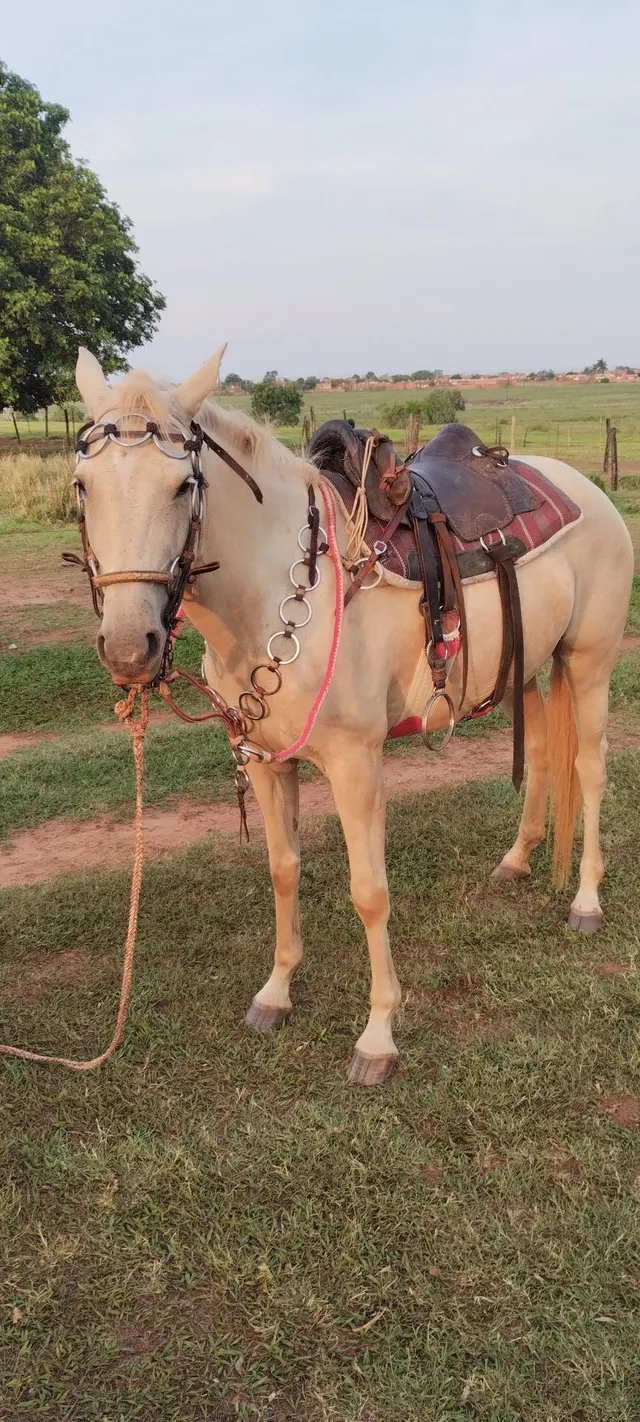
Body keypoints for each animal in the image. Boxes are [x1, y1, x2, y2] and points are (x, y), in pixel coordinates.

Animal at [72, 349, 631, 1080]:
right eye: (83, 486)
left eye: (182, 486)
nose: (128, 648)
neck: (277, 590)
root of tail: (586, 491)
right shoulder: (264, 762)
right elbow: (283, 869)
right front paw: (276, 993)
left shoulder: (354, 764)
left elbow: (370, 891)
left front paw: (378, 1036)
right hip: (523, 668)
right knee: (539, 752)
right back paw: (516, 859)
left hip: (588, 663)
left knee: (589, 770)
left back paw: (586, 901)